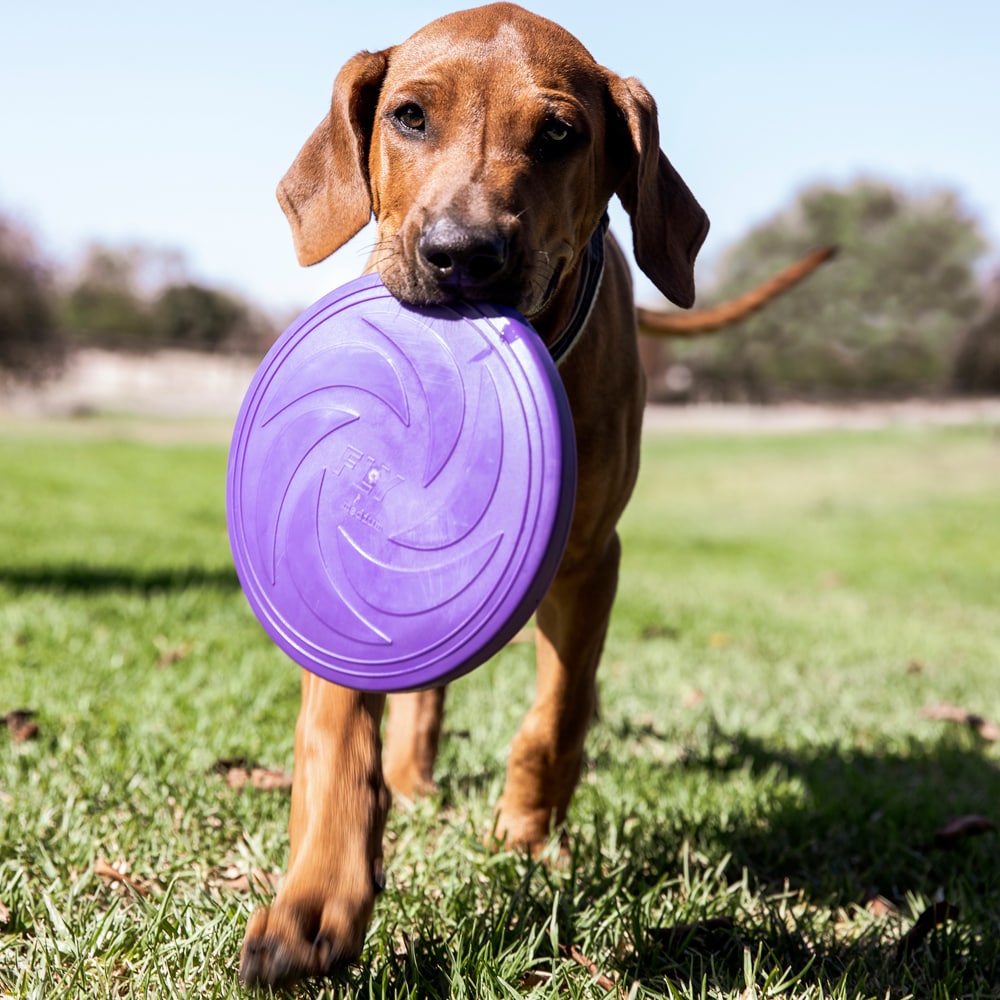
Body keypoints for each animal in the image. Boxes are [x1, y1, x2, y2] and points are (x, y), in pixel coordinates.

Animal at [238, 1, 824, 984]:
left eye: (559, 134)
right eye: (408, 117)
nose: (459, 256)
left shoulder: (590, 559)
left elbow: (553, 714)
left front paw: (524, 832)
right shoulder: (324, 571)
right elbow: (334, 736)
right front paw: (314, 900)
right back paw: (412, 776)